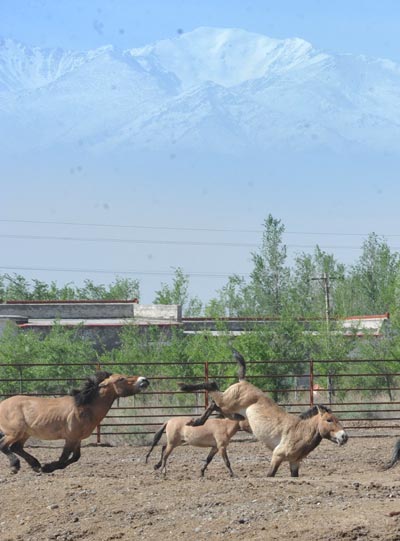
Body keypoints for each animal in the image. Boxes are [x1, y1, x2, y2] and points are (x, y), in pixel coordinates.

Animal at [0, 372, 150, 472]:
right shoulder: (71, 438)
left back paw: (35, 465)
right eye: (121, 379)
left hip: (25, 433)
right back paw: (15, 465)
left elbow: (75, 457)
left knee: (16, 447)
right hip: (14, 433)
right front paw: (48, 467)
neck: (83, 407)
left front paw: (46, 467)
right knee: (4, 446)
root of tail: (2, 403)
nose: (144, 380)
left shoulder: (77, 439)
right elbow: (63, 458)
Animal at [180, 352, 348, 474]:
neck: (300, 430)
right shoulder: (277, 456)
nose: (344, 436)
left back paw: (196, 421)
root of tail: (243, 381)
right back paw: (185, 389)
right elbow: (270, 474)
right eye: (329, 420)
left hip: (230, 412)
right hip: (226, 403)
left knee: (213, 404)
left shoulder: (294, 463)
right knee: (212, 386)